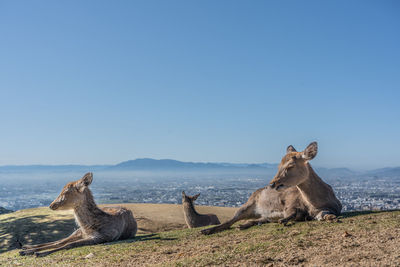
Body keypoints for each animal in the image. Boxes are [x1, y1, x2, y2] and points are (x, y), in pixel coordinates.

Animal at [202, 141, 342, 236]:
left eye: (290, 165)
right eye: (279, 165)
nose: (272, 184)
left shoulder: (328, 209)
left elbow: (325, 215)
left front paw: (332, 218)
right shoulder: (290, 203)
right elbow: (289, 213)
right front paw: (284, 219)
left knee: (258, 219)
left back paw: (244, 225)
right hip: (247, 204)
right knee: (231, 220)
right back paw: (206, 230)